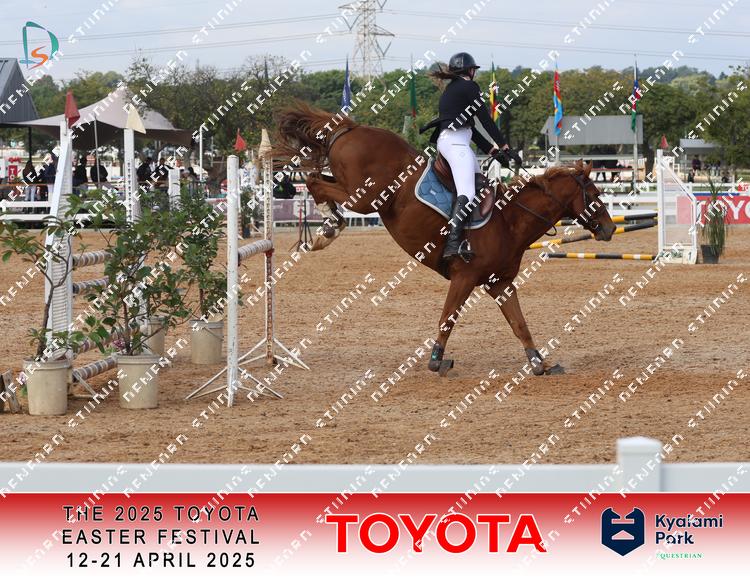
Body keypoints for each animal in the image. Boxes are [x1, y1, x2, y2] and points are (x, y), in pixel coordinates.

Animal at [275, 101, 617, 376]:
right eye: (595, 194)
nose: (609, 229)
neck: (508, 220)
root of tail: (352, 128)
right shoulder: (465, 277)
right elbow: (448, 319)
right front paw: (437, 359)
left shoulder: (500, 283)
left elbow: (519, 323)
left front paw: (539, 363)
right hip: (365, 198)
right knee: (314, 181)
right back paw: (328, 226)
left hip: (355, 190)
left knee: (317, 179)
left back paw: (328, 226)